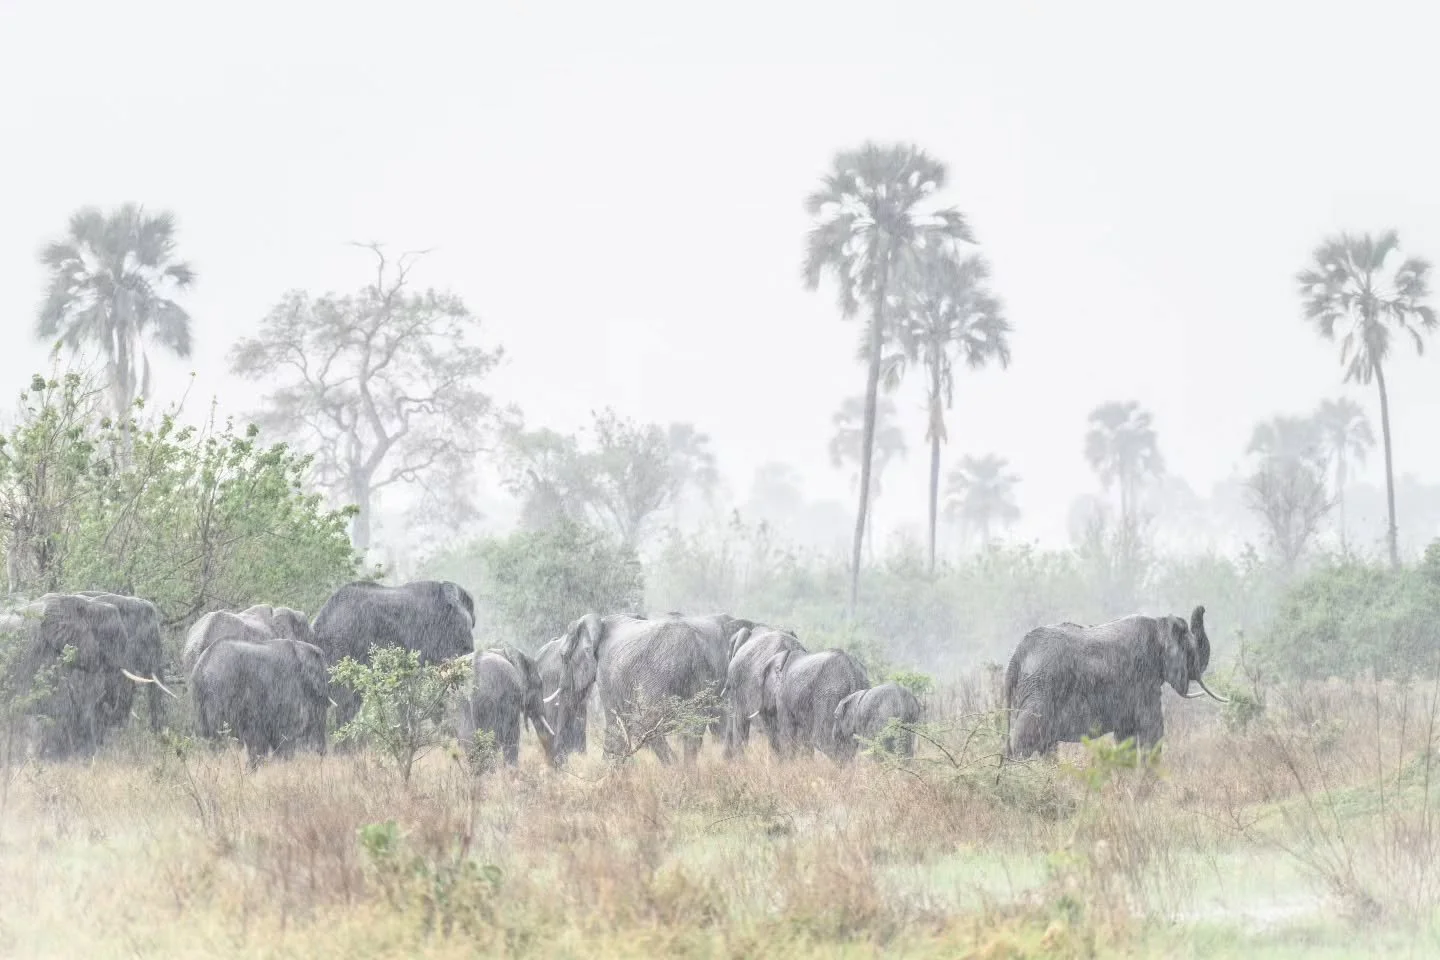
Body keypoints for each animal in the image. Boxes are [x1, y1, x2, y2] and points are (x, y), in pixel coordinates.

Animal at [190, 636, 330, 764]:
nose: (322, 754)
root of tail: (202, 665)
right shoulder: (288, 686)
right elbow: (284, 731)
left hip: (200, 700)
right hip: (220, 691)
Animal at [547, 612, 722, 764]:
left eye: (563, 656)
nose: (560, 763)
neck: (600, 622)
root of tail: (693, 648)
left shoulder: (606, 674)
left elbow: (615, 725)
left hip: (659, 673)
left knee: (646, 723)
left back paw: (675, 769)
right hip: (702, 674)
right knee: (694, 729)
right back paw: (687, 772)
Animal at [1004, 605, 1228, 759]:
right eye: (1191, 652)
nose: (1202, 608)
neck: (1160, 623)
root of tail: (1016, 655)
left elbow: (1126, 735)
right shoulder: (1142, 677)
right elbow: (1151, 727)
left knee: (1046, 745)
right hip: (1039, 688)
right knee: (1026, 738)